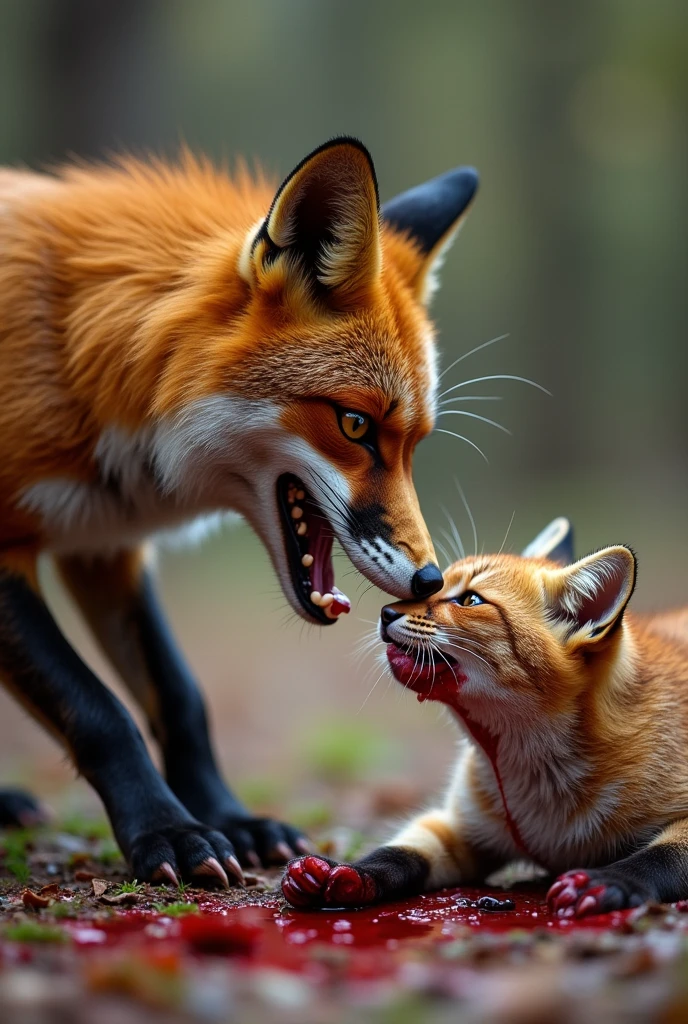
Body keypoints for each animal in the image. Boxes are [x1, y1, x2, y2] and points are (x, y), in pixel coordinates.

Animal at [0, 138, 475, 888]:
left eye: (415, 444)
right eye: (355, 425)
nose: (433, 581)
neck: (74, 355)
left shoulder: (104, 543)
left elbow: (181, 696)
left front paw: (229, 820)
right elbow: (100, 711)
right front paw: (168, 833)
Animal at [282, 520, 688, 921]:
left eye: (470, 601)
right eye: (439, 585)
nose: (386, 612)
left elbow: (659, 858)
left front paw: (611, 881)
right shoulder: (460, 827)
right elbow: (396, 854)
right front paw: (349, 873)